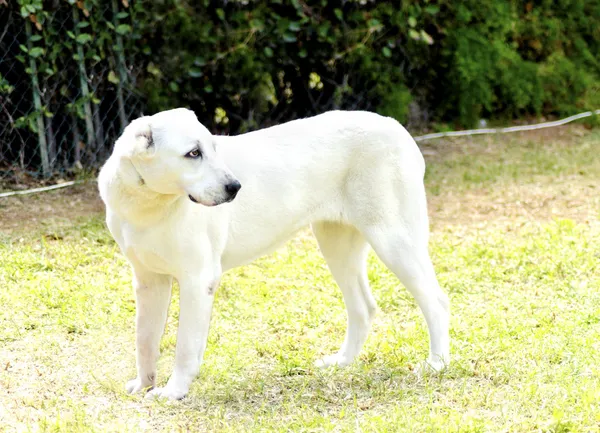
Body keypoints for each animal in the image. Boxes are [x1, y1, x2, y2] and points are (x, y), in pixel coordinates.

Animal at [97, 107, 446, 398]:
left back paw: (437, 364)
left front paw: (173, 392)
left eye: (213, 148)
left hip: (394, 240)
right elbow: (145, 340)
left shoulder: (198, 280)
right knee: (363, 307)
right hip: (335, 244)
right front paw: (144, 385)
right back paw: (342, 362)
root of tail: (396, 127)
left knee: (436, 301)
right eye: (193, 154)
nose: (235, 188)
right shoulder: (148, 282)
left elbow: (185, 346)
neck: (149, 202)